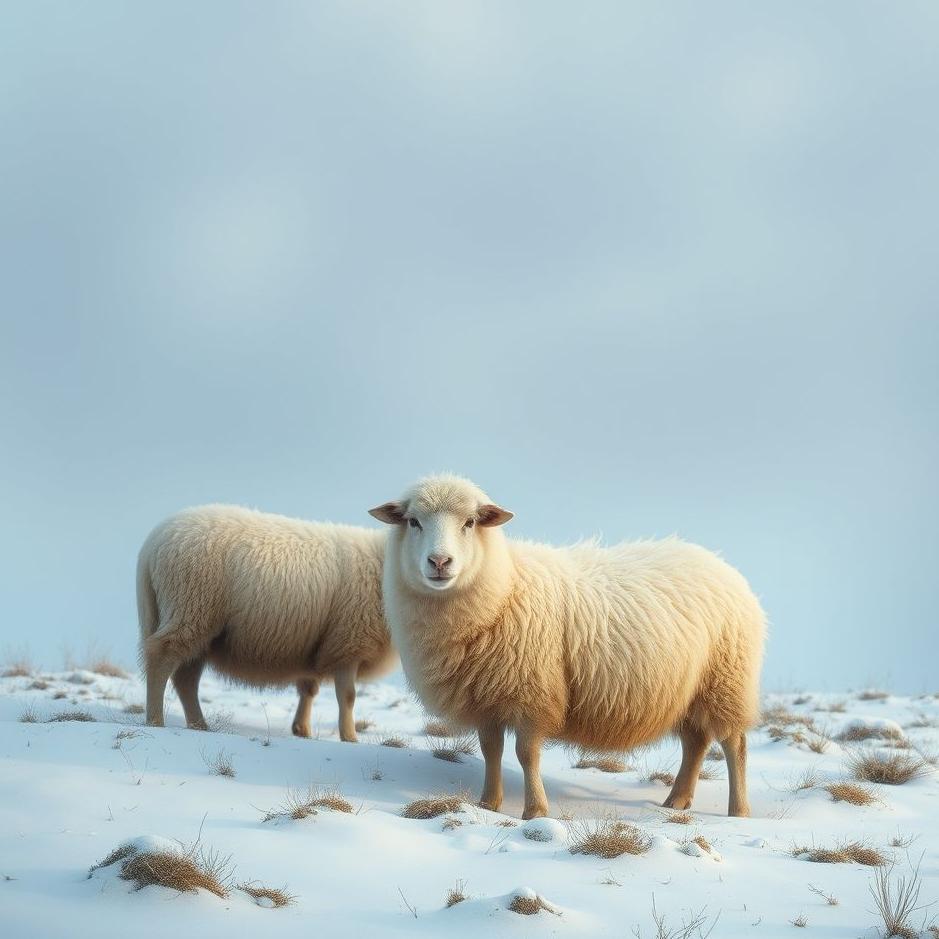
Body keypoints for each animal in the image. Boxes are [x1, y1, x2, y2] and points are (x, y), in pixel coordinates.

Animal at [138, 504, 395, 741]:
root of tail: (152, 544)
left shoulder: (316, 643)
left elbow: (309, 689)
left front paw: (302, 730)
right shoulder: (349, 642)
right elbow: (348, 696)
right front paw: (350, 738)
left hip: (200, 624)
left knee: (186, 678)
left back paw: (199, 725)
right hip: (191, 606)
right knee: (162, 657)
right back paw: (156, 721)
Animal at [370, 475, 766, 819]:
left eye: (469, 522)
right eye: (413, 521)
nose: (439, 562)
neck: (504, 586)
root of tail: (724, 566)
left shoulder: (532, 691)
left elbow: (526, 754)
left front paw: (534, 811)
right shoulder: (486, 697)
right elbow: (491, 751)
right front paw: (488, 804)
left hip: (726, 680)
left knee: (734, 745)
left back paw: (738, 811)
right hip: (688, 690)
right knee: (695, 743)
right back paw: (677, 800)